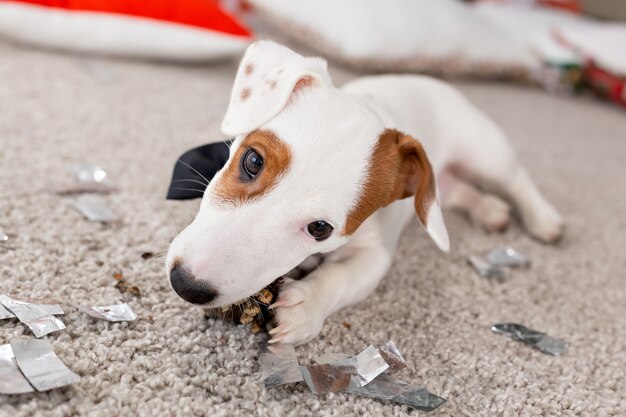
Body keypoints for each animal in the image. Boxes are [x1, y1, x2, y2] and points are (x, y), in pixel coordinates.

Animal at [165, 39, 560, 344]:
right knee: (454, 195)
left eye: (320, 229)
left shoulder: (374, 254)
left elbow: (341, 277)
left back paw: (543, 219)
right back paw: (489, 209)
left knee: (516, 180)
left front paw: (305, 304)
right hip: (440, 189)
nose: (186, 284)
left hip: (486, 153)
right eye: (252, 161)